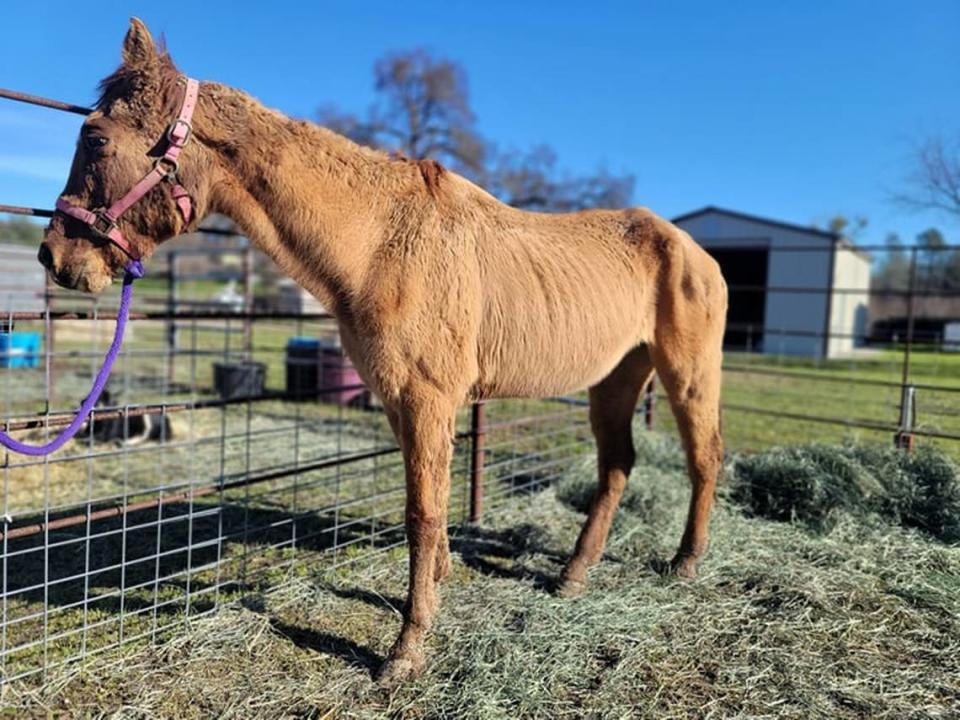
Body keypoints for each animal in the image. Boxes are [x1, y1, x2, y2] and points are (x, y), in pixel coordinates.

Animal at [39, 19, 728, 688]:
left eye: (96, 139)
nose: (56, 256)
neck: (379, 242)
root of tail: (695, 251)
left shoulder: (427, 400)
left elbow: (421, 514)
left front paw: (406, 650)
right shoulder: (401, 402)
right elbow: (426, 510)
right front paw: (436, 588)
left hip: (687, 374)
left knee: (704, 457)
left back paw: (684, 562)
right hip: (614, 380)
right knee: (617, 466)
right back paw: (573, 575)